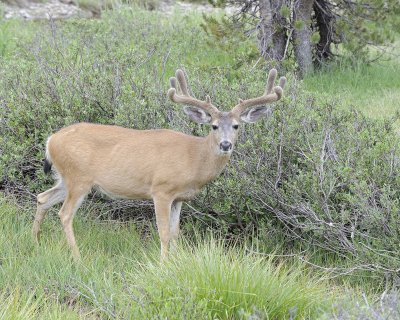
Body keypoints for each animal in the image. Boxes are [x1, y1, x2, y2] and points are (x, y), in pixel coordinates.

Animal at [32, 67, 286, 260]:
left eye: (236, 126)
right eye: (213, 126)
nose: (225, 145)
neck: (194, 158)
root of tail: (51, 139)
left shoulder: (179, 197)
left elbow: (175, 233)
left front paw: (176, 262)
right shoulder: (161, 190)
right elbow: (163, 232)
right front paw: (163, 265)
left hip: (66, 178)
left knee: (42, 198)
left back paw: (36, 241)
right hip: (79, 178)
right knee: (64, 214)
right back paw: (78, 257)